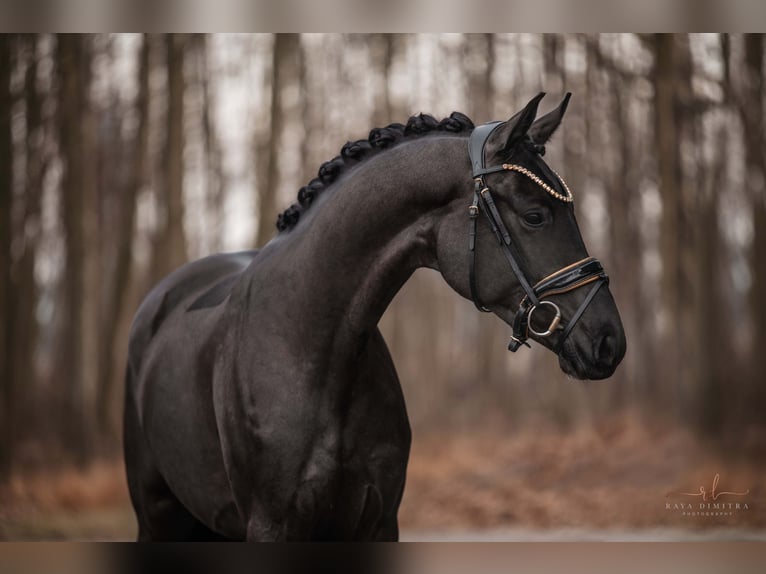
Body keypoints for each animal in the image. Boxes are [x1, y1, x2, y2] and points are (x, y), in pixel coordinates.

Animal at [126, 92, 628, 544]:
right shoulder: (270, 526)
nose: (610, 342)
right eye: (535, 215)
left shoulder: (379, 521)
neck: (309, 349)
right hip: (157, 515)